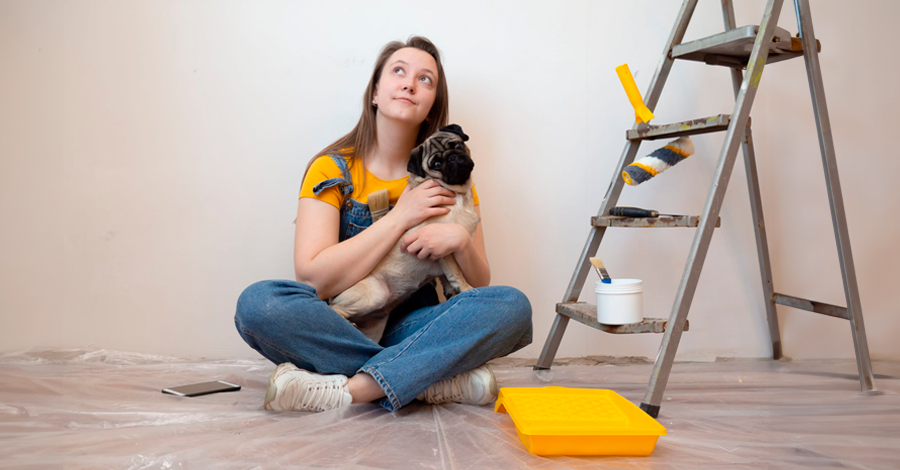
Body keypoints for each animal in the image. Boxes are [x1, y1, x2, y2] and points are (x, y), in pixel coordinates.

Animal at [328, 125, 478, 342]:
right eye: (436, 164)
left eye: (457, 145)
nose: (452, 158)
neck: (458, 195)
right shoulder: (444, 248)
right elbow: (456, 273)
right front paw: (466, 289)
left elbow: (446, 276)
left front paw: (452, 292)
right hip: (375, 293)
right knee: (333, 309)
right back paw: (346, 322)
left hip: (375, 326)